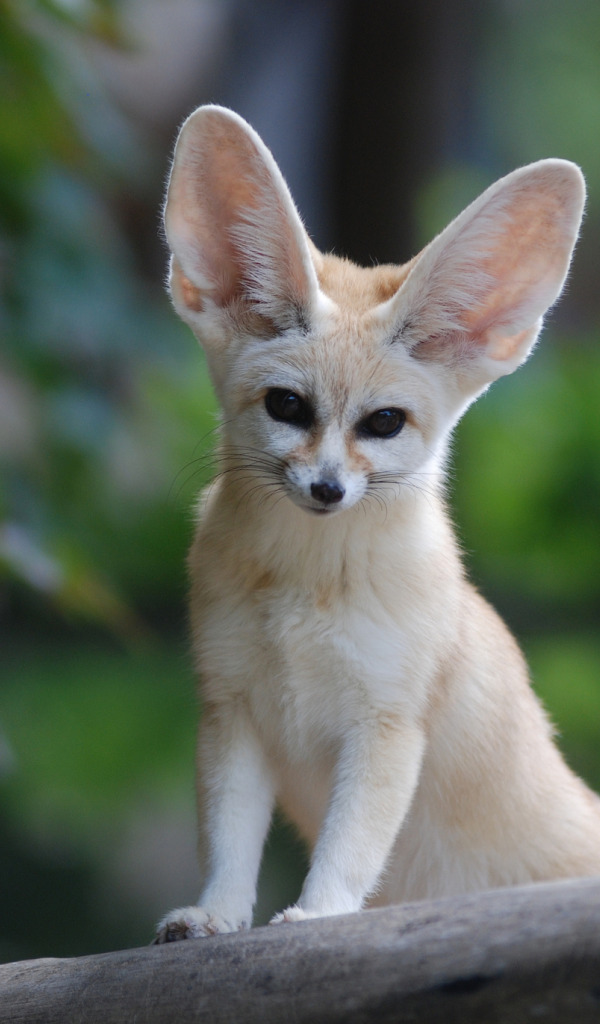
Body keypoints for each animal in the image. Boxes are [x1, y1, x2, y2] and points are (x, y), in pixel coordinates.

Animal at [155, 105, 597, 942]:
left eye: (383, 422)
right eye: (287, 407)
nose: (327, 488)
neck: (305, 592)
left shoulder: (387, 725)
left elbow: (352, 842)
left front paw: (318, 915)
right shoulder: (232, 712)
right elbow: (228, 839)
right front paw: (215, 915)